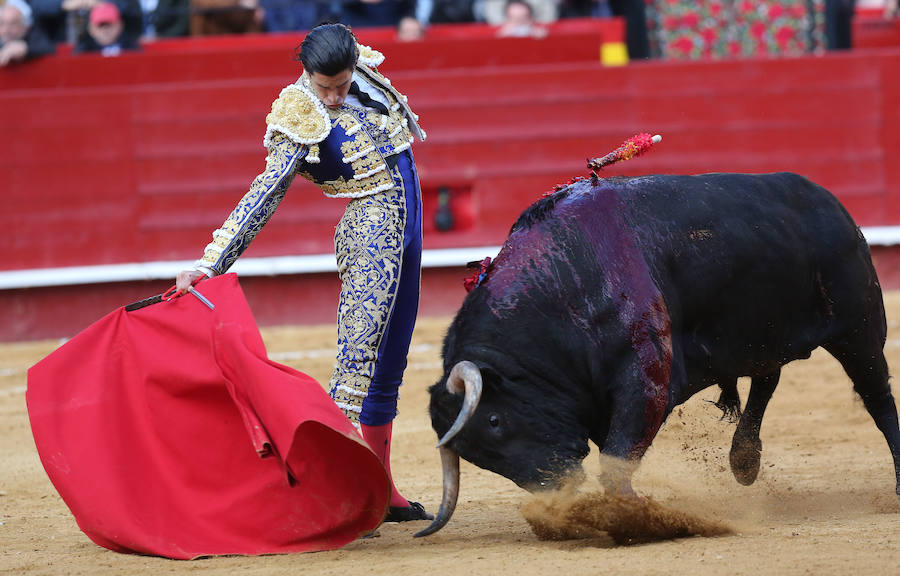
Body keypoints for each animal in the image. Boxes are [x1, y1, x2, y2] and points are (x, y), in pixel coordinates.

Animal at [418, 170, 900, 536]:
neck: (563, 287)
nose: (556, 489)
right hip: (763, 330)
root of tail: (827, 199)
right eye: (479, 458)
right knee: (768, 377)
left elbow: (615, 461)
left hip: (860, 331)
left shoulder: (646, 377)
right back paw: (744, 461)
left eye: (495, 422)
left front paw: (636, 518)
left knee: (878, 400)